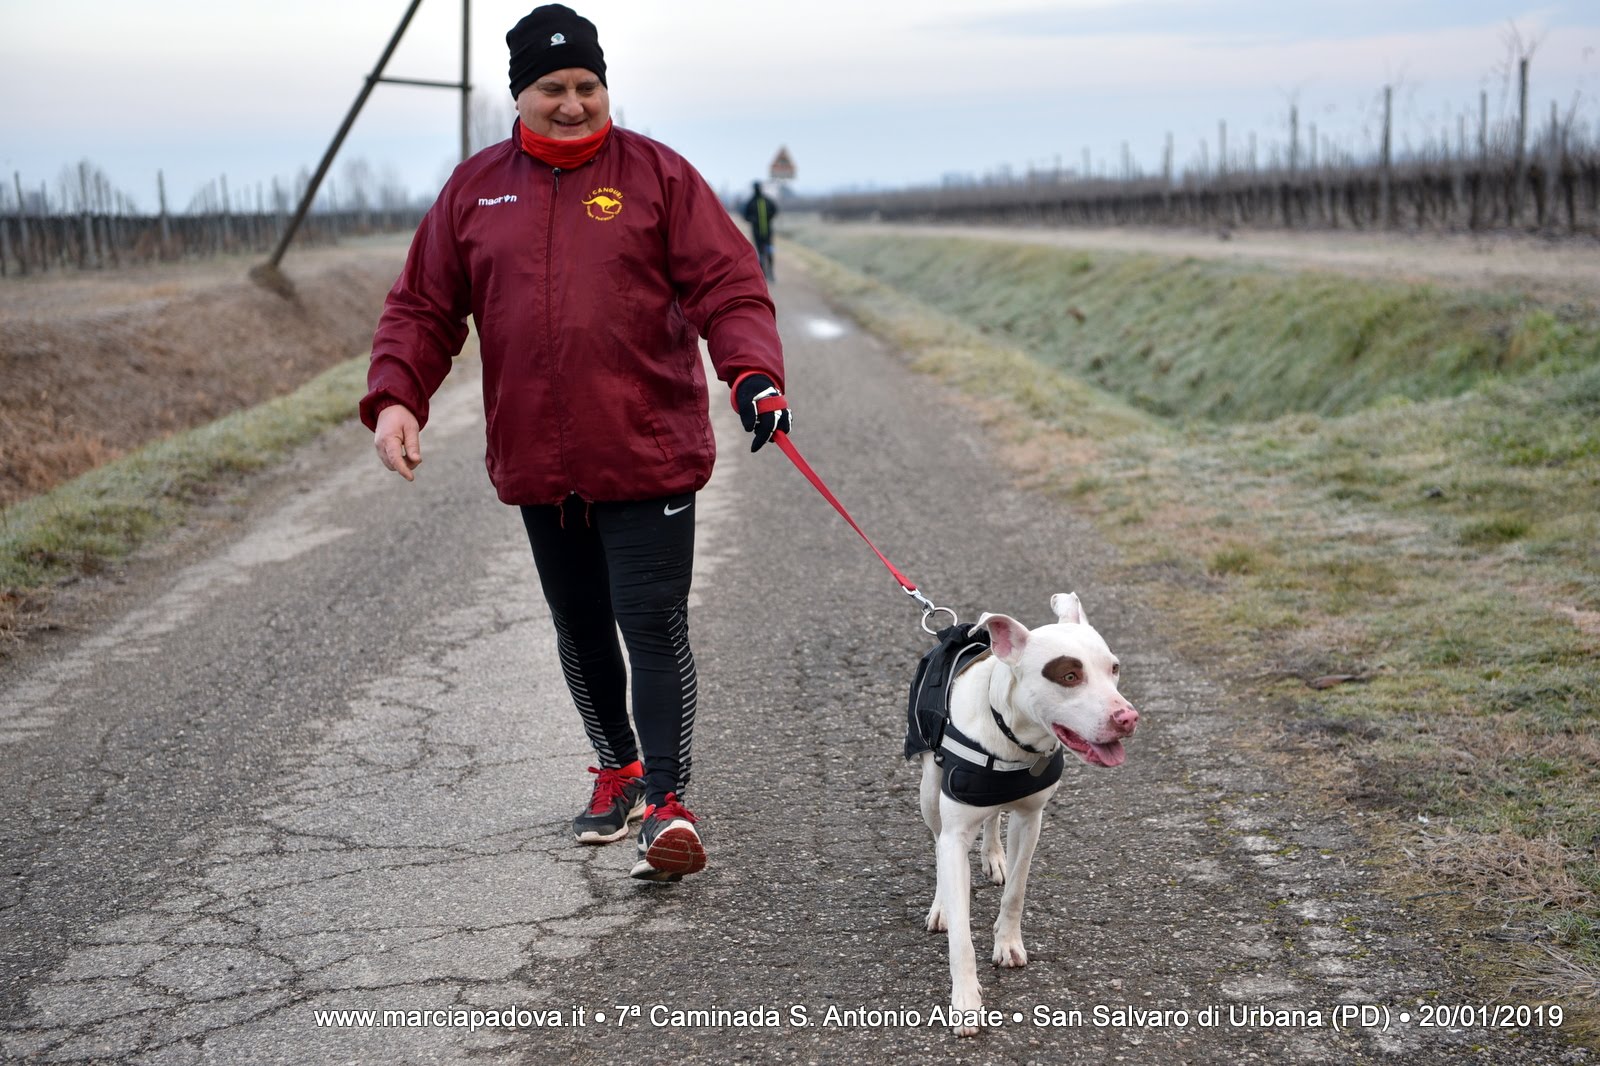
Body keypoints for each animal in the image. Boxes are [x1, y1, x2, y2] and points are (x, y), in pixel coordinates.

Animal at [915, 589, 1139, 1030]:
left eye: (1114, 668)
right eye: (1069, 676)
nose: (1128, 718)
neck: (1011, 737)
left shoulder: (1030, 819)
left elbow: (1016, 891)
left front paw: (1007, 942)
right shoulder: (954, 832)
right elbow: (961, 933)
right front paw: (965, 1001)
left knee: (993, 817)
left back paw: (993, 856)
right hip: (929, 792)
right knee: (936, 840)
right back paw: (941, 904)